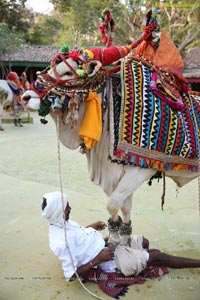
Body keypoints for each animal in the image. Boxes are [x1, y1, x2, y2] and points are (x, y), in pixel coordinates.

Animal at [22, 17, 200, 246]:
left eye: (68, 72)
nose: (26, 97)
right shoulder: (117, 170)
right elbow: (124, 205)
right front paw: (119, 240)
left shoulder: (141, 169)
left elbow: (113, 203)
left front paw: (119, 242)